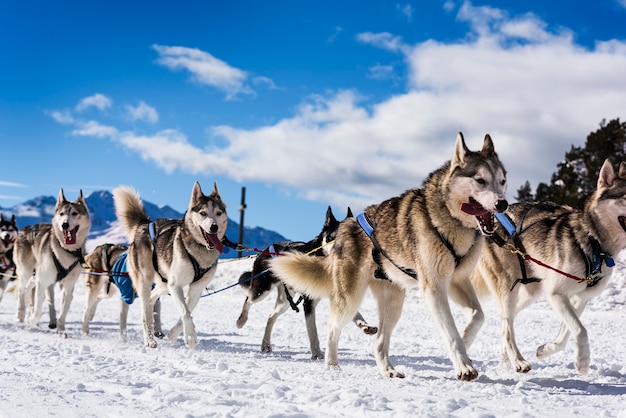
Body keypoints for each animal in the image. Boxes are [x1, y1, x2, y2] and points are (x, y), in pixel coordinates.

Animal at [13, 189, 91, 334]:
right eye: (61, 214)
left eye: (75, 213)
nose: (64, 224)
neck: (66, 250)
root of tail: (25, 229)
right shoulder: (43, 282)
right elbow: (38, 310)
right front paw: (31, 323)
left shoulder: (68, 287)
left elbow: (63, 312)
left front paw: (61, 330)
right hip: (27, 271)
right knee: (22, 290)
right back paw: (21, 314)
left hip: (38, 275)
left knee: (30, 288)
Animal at [113, 181, 228, 348]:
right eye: (203, 213)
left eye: (219, 213)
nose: (214, 227)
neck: (199, 248)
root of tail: (144, 225)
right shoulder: (176, 285)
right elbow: (185, 312)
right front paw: (190, 337)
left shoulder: (195, 289)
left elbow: (187, 312)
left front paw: (174, 335)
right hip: (146, 281)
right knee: (144, 313)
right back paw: (149, 340)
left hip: (164, 283)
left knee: (151, 301)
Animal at [236, 207, 376, 358]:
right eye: (331, 237)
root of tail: (264, 250)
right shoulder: (309, 303)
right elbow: (312, 331)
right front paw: (317, 354)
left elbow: (356, 314)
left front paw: (365, 326)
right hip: (262, 289)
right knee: (248, 300)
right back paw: (241, 320)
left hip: (285, 301)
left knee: (271, 316)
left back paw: (266, 344)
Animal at [270, 133, 504, 378]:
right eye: (480, 180)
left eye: (502, 181)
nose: (503, 203)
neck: (449, 218)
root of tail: (344, 230)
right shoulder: (434, 287)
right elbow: (450, 330)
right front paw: (463, 364)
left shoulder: (457, 280)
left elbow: (478, 316)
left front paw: (466, 342)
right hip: (351, 297)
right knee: (332, 328)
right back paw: (332, 364)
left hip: (393, 302)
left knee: (380, 342)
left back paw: (388, 369)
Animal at [468, 158, 624, 374]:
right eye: (624, 196)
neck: (593, 242)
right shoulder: (556, 293)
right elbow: (580, 330)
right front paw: (583, 361)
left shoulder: (579, 299)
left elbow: (566, 333)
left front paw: (546, 350)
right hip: (508, 289)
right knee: (507, 326)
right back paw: (517, 360)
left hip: (529, 292)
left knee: (506, 321)